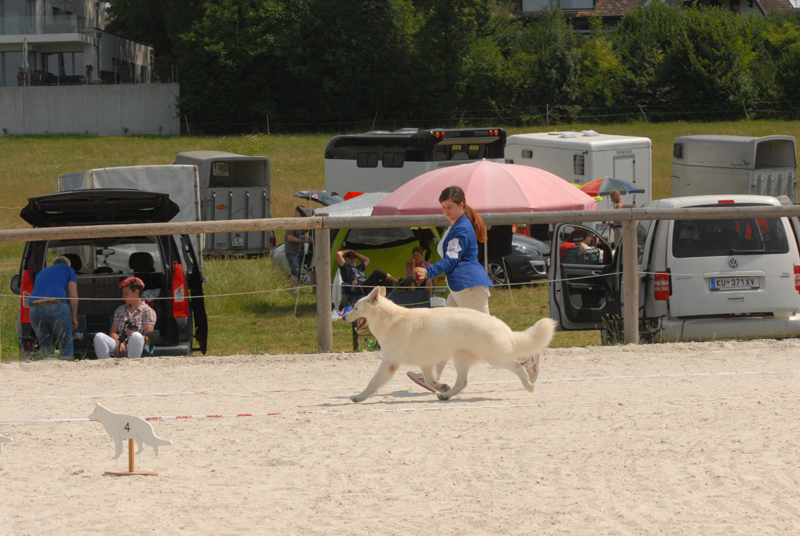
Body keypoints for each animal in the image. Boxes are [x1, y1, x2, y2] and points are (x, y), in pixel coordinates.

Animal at [344, 286, 556, 400]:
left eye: (355, 308)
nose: (344, 316)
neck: (390, 319)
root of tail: (500, 324)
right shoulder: (426, 363)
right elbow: (430, 380)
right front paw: (441, 387)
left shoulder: (389, 363)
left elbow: (372, 382)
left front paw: (358, 397)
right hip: (461, 359)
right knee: (462, 382)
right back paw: (446, 395)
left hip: (494, 357)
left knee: (517, 366)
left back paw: (529, 385)